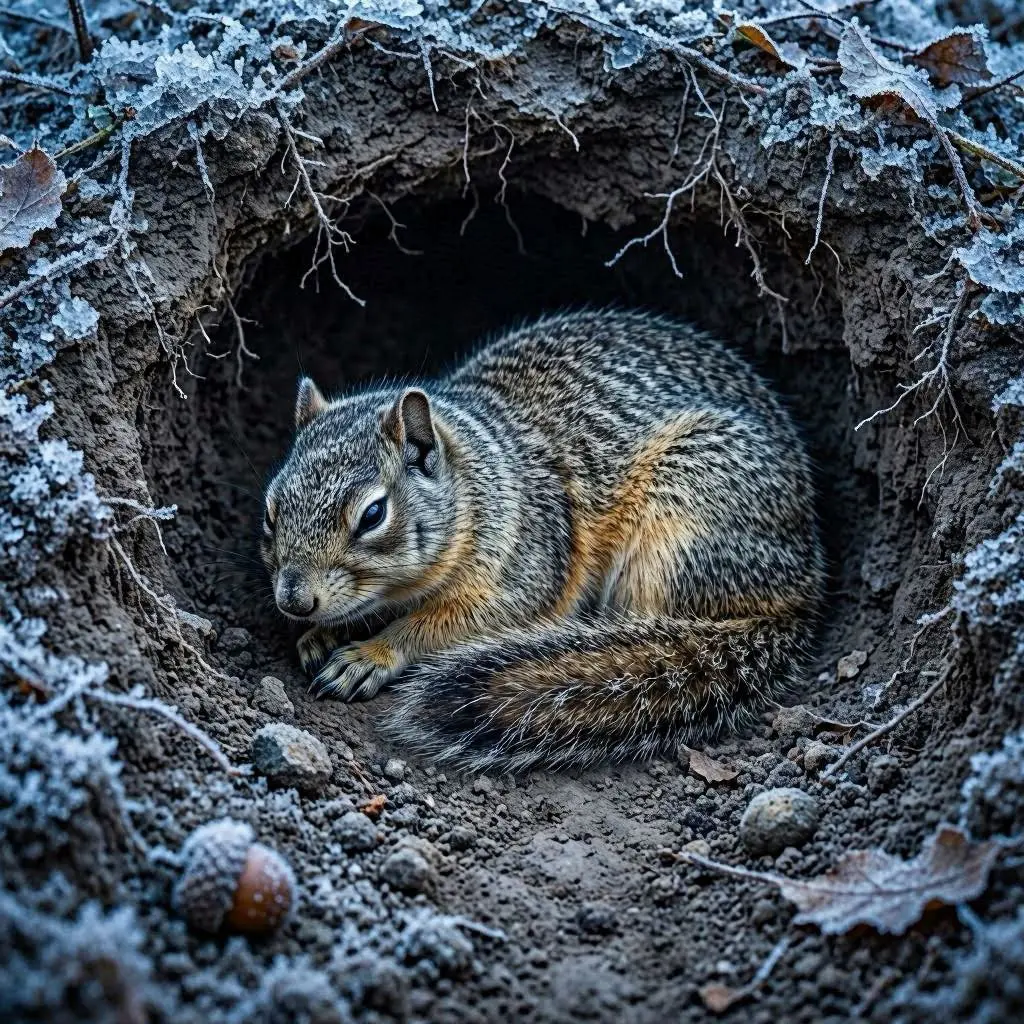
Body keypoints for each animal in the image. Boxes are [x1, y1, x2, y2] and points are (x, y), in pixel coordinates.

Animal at [261, 310, 824, 772]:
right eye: (270, 509)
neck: (480, 478)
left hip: (680, 526)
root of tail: (804, 585)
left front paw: (372, 653)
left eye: (374, 514)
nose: (295, 601)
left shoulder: (527, 566)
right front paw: (325, 632)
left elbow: (447, 624)